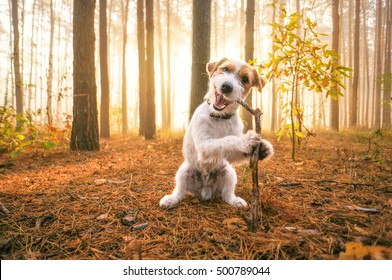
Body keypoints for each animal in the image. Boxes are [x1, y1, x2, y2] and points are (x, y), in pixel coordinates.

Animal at [159, 58, 272, 208]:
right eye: (225, 69)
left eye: (244, 79)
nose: (226, 87)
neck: (220, 117)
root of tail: (205, 190)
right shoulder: (204, 144)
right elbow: (226, 140)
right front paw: (245, 140)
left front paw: (263, 149)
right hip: (183, 171)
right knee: (180, 191)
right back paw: (170, 199)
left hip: (228, 172)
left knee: (226, 194)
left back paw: (236, 201)